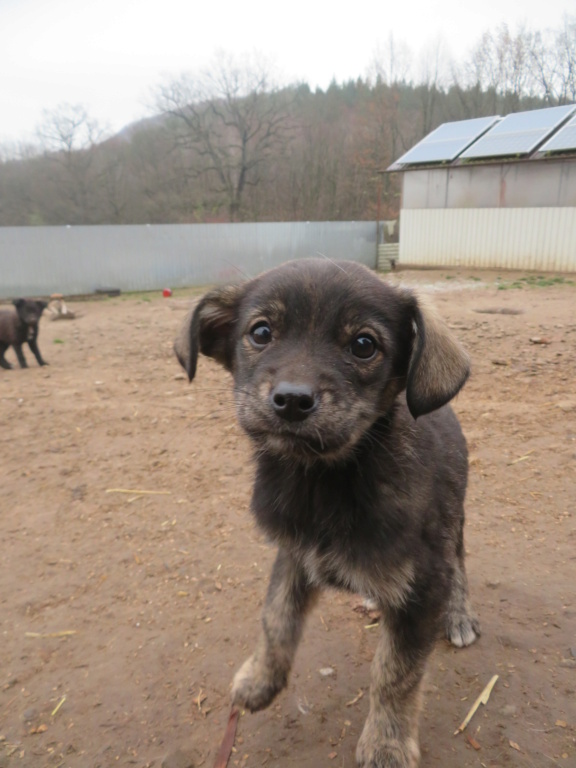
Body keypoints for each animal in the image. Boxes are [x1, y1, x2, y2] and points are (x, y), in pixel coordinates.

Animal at [173, 260, 480, 764]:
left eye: (364, 345)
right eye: (261, 332)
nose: (292, 401)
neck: (322, 482)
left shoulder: (422, 586)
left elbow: (395, 674)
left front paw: (387, 743)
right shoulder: (294, 556)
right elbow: (276, 620)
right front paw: (259, 681)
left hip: (453, 520)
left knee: (460, 562)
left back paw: (458, 614)